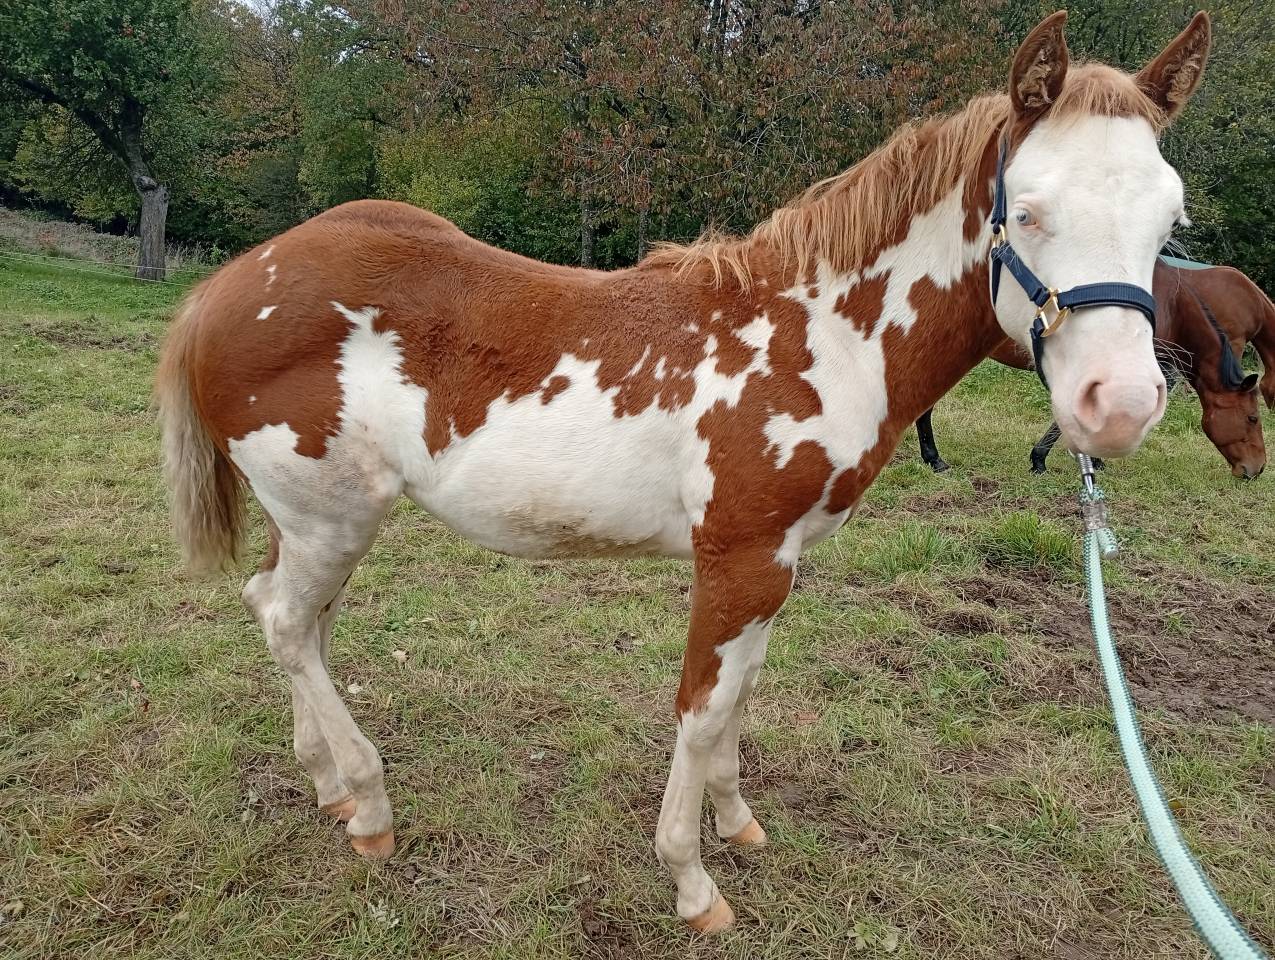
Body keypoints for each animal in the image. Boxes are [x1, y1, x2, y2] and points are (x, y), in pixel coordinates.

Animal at [155, 12, 1210, 932]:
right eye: (1025, 213)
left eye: (1168, 220)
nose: (1118, 406)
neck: (819, 339)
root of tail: (228, 284)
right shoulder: (737, 558)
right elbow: (701, 711)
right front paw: (691, 881)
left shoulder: (778, 563)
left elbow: (741, 693)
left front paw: (736, 823)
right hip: (331, 517)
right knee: (287, 621)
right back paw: (370, 806)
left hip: (318, 523)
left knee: (289, 617)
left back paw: (329, 783)